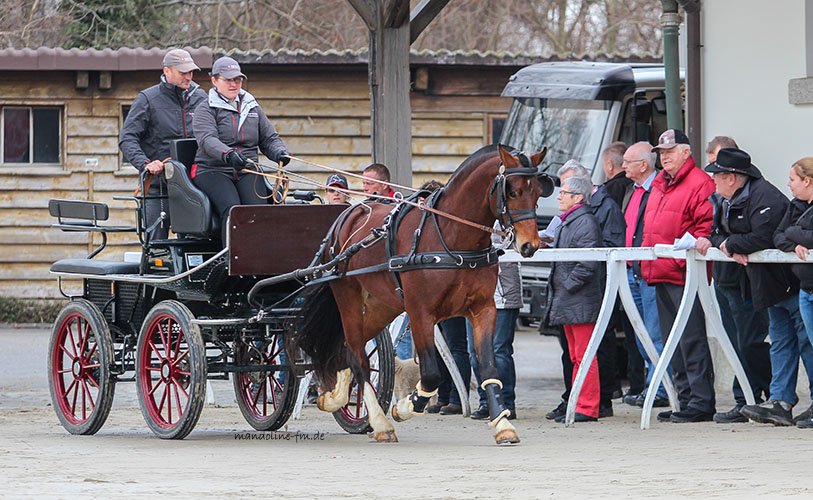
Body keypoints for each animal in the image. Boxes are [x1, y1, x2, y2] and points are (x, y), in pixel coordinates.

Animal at [290, 145, 549, 444]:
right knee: (357, 357)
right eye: (513, 192)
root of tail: (347, 216)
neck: (451, 238)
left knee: (348, 348)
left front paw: (503, 425)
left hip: (382, 306)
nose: (530, 245)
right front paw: (404, 407)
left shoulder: (484, 309)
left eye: (538, 192)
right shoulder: (420, 313)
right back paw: (380, 423)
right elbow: (431, 374)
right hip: (349, 298)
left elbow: (488, 367)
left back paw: (337, 398)